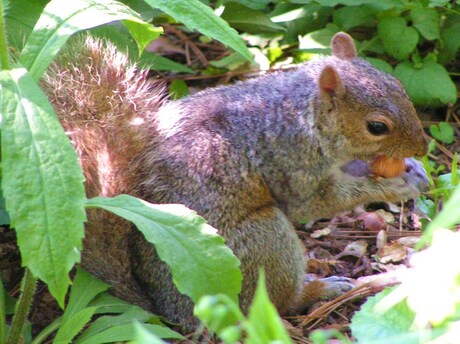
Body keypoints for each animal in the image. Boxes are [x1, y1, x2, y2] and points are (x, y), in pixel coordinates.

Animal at [41, 32, 430, 330]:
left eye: (399, 85)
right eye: (376, 127)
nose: (424, 147)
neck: (301, 111)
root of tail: (169, 311)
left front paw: (411, 169)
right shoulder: (291, 159)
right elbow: (318, 201)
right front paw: (393, 185)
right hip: (261, 247)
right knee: (276, 303)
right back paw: (319, 289)